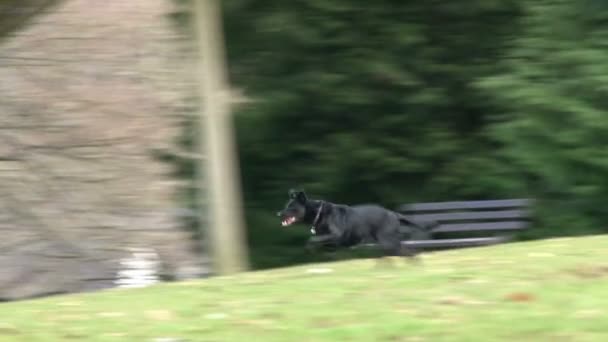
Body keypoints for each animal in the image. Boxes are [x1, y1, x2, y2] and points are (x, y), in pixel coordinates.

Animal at [278, 188, 434, 258]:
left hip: (387, 241)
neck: (318, 213)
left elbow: (313, 239)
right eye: (286, 205)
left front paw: (309, 248)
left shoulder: (336, 234)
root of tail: (393, 214)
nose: (278, 214)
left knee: (406, 251)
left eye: (291, 207)